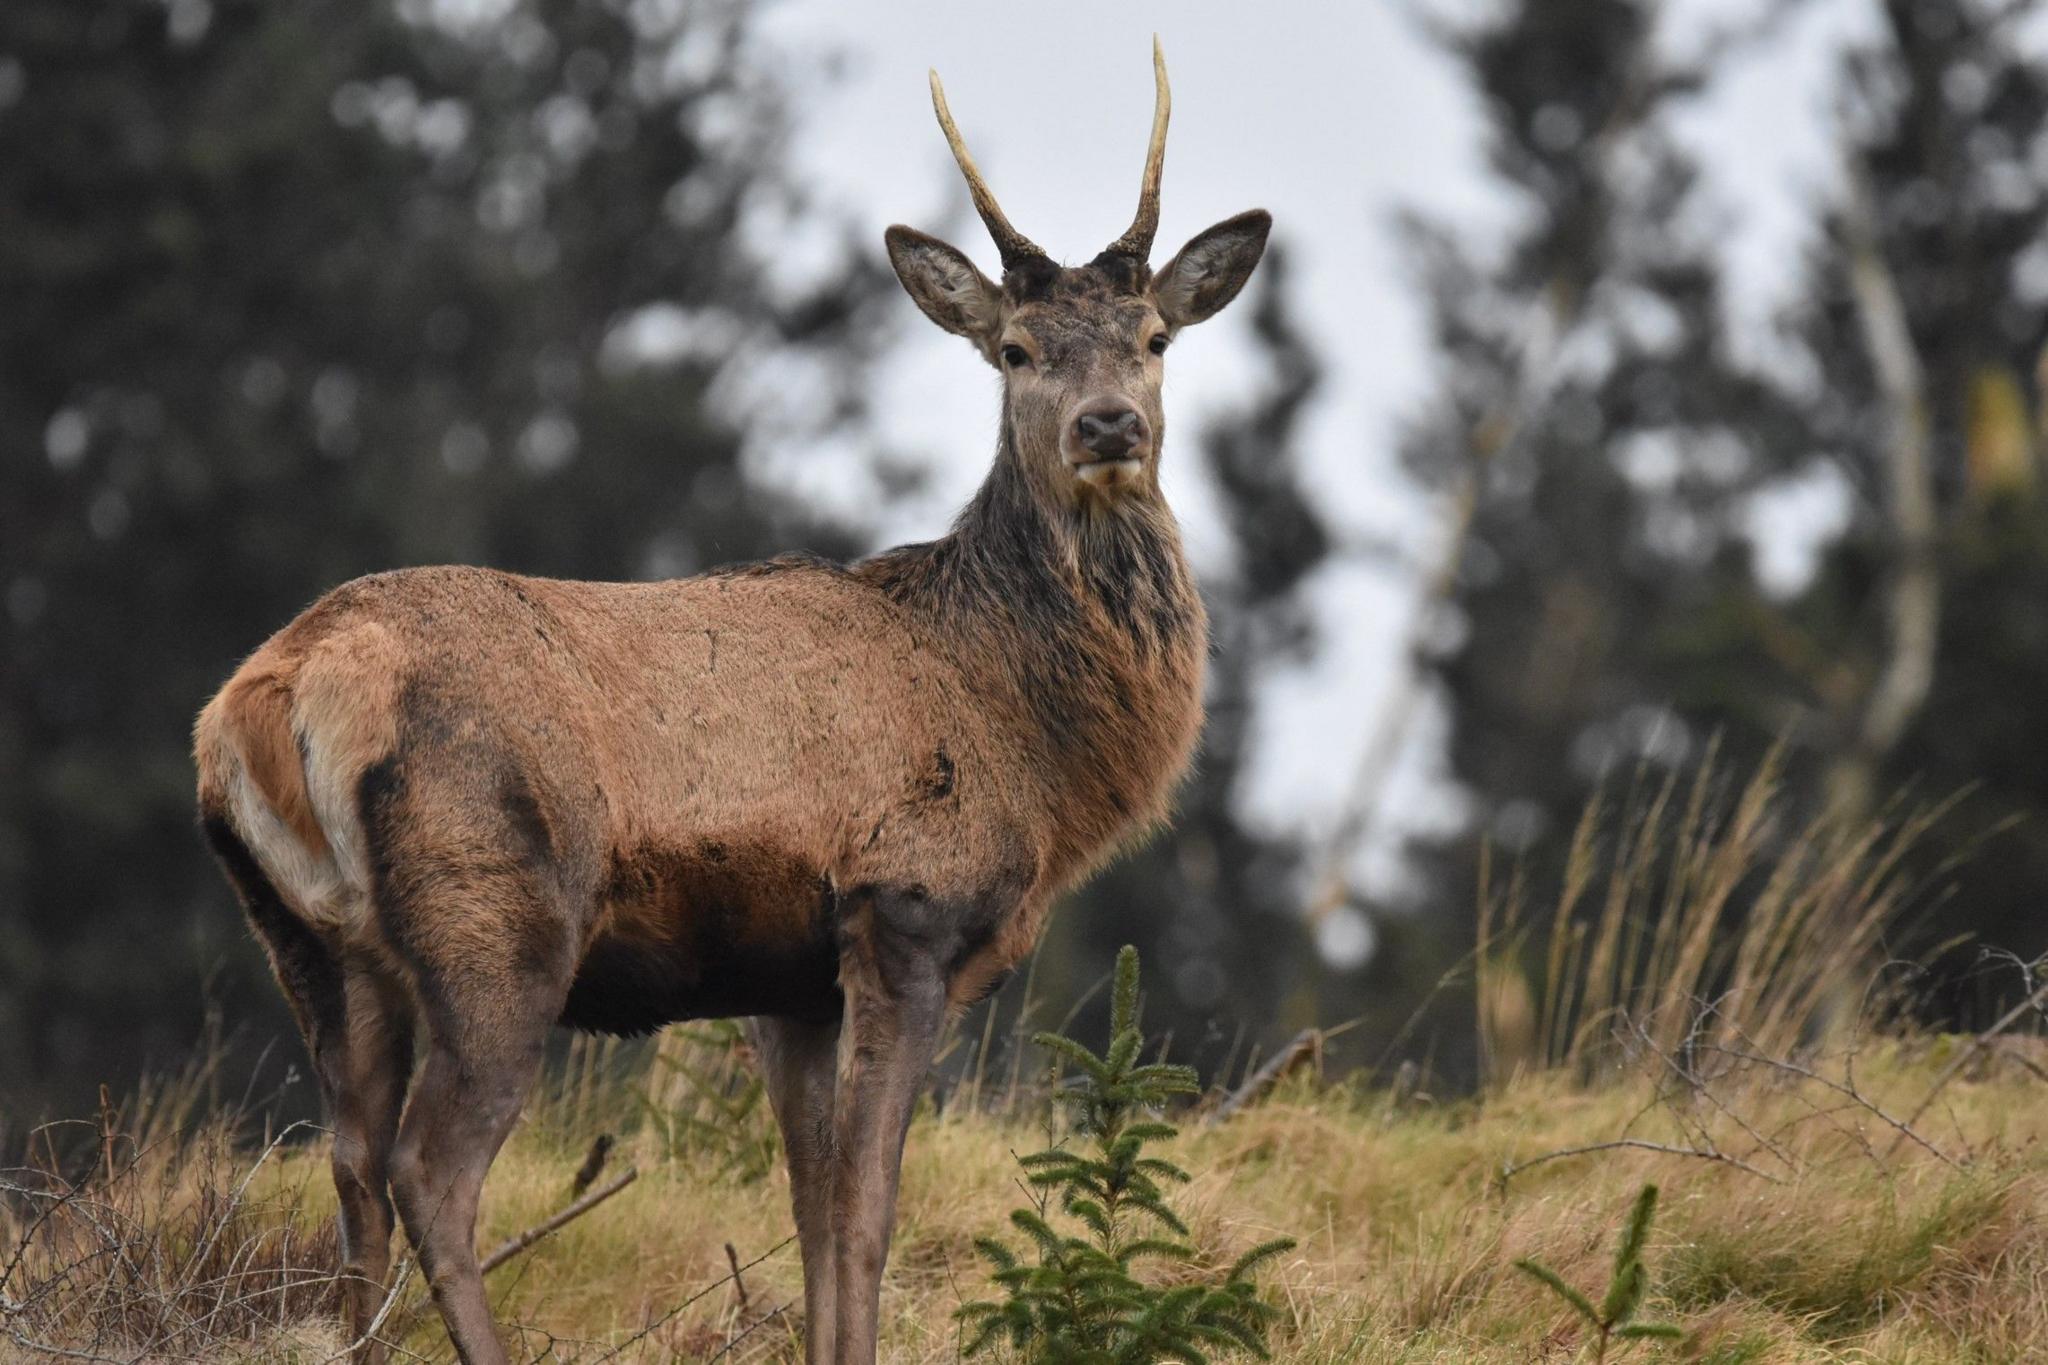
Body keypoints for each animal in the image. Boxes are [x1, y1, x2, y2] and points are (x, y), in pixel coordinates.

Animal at [199, 42, 1269, 1365]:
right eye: (1015, 351)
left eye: (1155, 336)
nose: (1106, 426)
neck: (1023, 733)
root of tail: (267, 699)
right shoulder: (902, 909)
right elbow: (865, 1211)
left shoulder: (784, 980)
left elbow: (806, 1210)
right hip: (493, 911)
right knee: (428, 1171)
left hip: (308, 940)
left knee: (347, 1164)